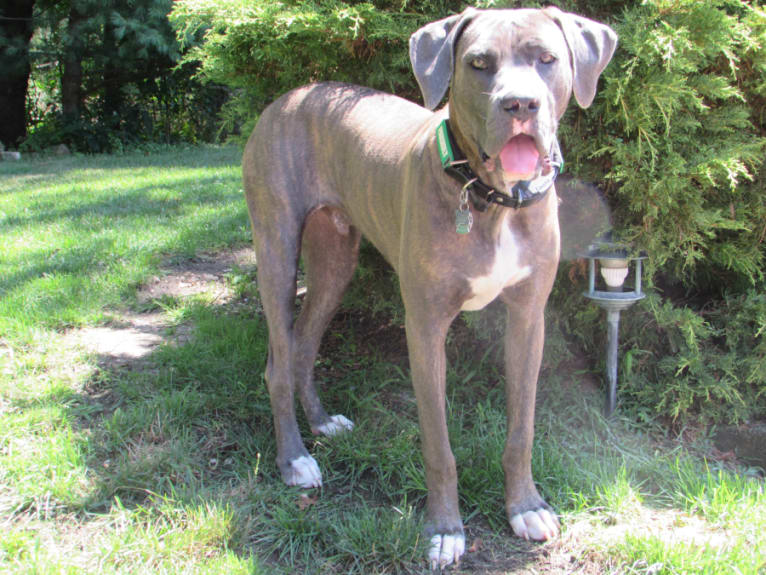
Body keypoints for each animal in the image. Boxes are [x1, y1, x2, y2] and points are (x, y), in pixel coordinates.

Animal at [246, 5, 616, 572]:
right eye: (479, 63)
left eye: (547, 59)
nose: (520, 104)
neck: (491, 199)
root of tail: (287, 96)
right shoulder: (424, 327)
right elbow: (439, 446)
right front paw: (444, 530)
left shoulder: (528, 319)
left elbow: (522, 429)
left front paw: (526, 507)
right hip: (277, 250)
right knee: (277, 363)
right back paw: (295, 459)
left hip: (336, 258)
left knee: (305, 343)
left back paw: (323, 423)